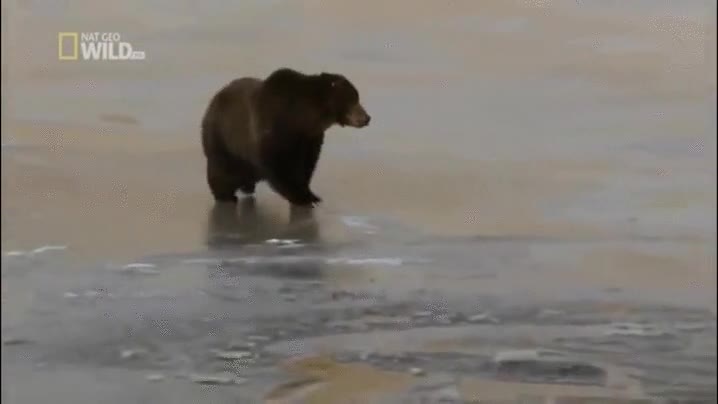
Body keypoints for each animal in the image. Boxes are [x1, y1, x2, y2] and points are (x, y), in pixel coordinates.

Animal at [200, 67, 371, 207]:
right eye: (353, 99)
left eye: (357, 97)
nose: (367, 118)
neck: (299, 117)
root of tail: (213, 100)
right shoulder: (276, 130)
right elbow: (280, 166)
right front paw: (300, 197)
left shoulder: (309, 139)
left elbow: (307, 165)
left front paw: (312, 195)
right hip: (222, 138)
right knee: (221, 168)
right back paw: (226, 195)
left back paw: (246, 186)